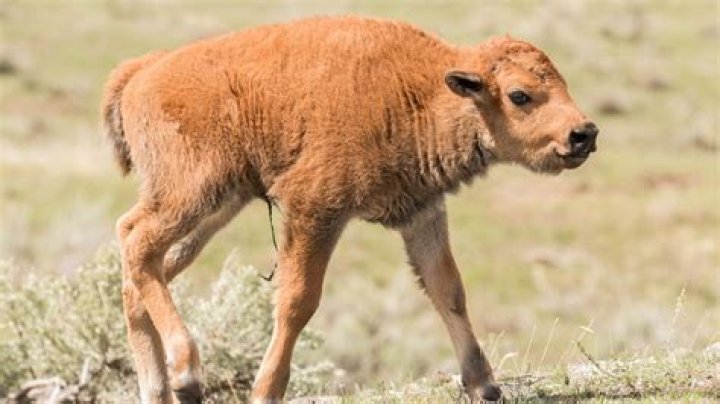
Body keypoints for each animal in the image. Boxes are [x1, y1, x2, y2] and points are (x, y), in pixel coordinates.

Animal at [102, 15, 597, 403]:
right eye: (519, 95)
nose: (584, 134)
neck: (425, 91)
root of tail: (142, 70)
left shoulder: (422, 214)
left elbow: (449, 291)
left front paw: (485, 386)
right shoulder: (317, 211)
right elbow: (298, 301)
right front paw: (266, 391)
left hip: (214, 208)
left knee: (141, 267)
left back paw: (159, 389)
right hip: (192, 193)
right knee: (137, 242)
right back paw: (186, 375)